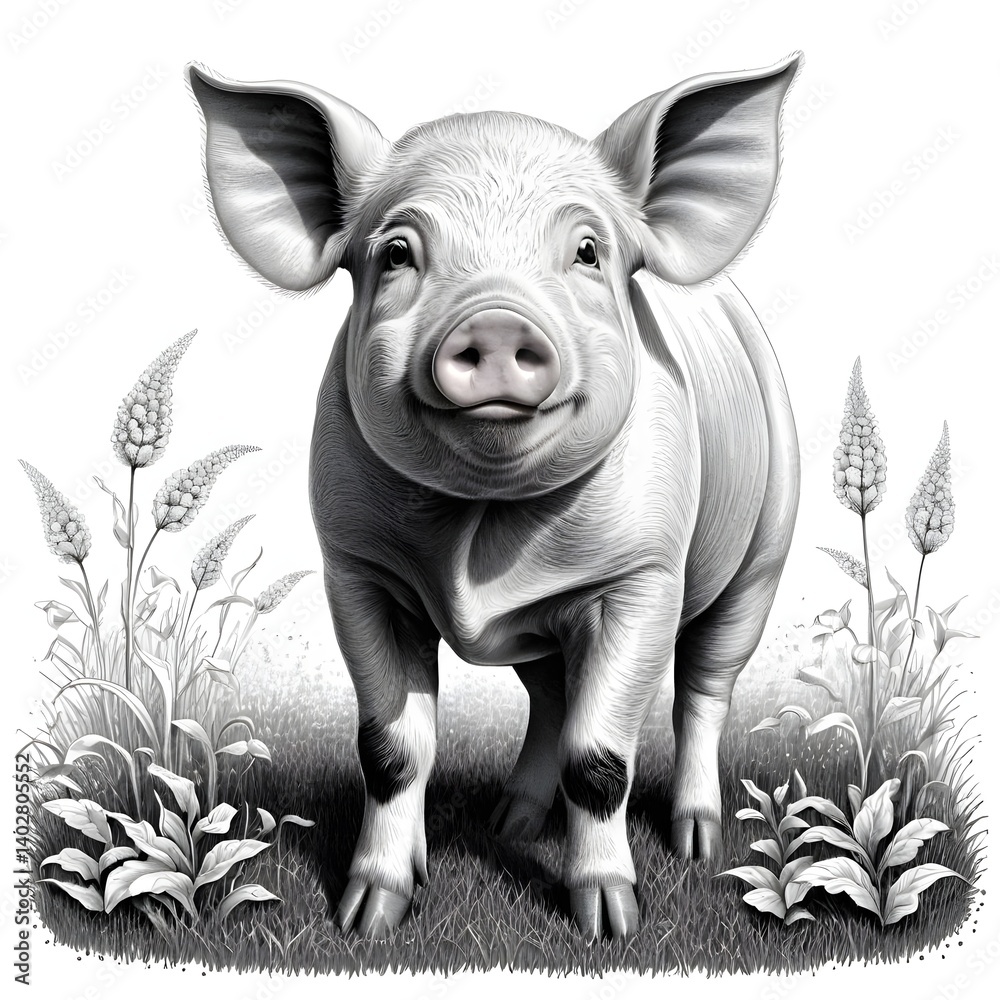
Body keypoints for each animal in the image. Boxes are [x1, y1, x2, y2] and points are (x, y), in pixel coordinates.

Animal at [188, 53, 801, 941]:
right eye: (398, 253)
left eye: (587, 252)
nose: (499, 323)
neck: (483, 528)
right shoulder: (356, 571)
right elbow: (391, 748)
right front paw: (370, 916)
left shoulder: (642, 577)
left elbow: (601, 758)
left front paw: (610, 923)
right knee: (552, 697)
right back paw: (510, 821)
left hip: (763, 550)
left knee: (705, 686)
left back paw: (698, 842)